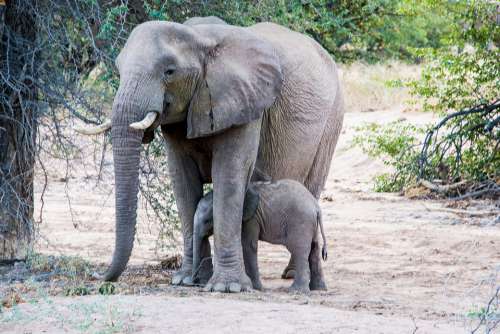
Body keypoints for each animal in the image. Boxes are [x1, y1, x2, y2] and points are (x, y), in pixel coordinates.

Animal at [192, 180, 328, 292]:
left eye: (207, 221)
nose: (194, 283)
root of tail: (316, 207)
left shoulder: (251, 219)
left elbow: (248, 245)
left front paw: (255, 288)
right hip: (311, 224)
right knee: (314, 249)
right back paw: (318, 289)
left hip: (301, 222)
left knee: (299, 250)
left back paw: (297, 291)